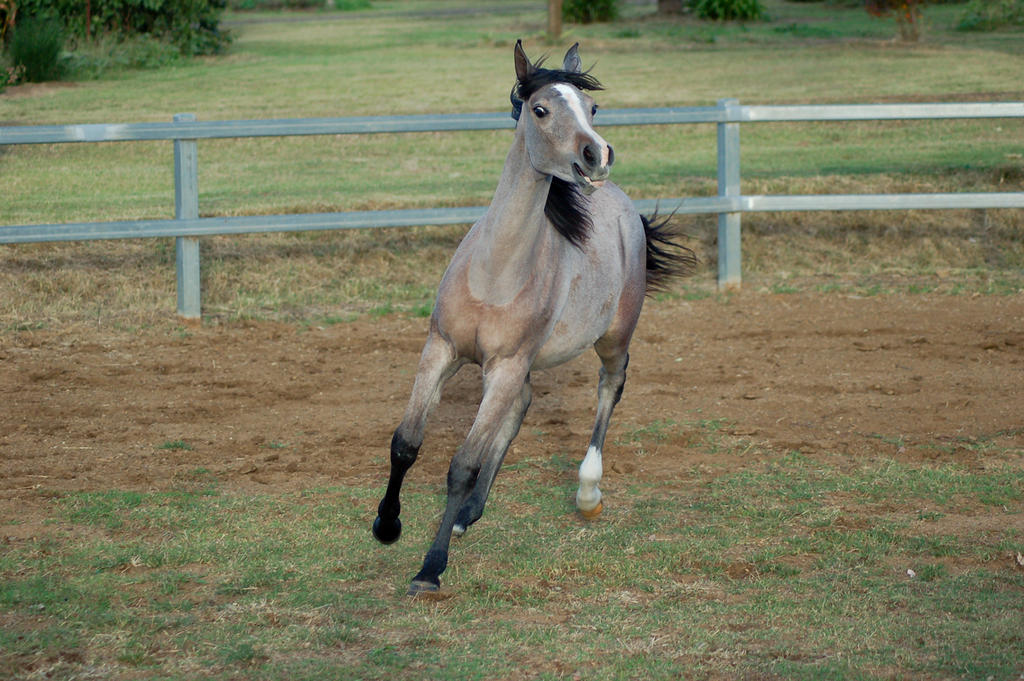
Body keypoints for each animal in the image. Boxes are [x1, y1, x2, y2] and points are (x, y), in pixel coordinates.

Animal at [368, 41, 696, 593]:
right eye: (540, 109)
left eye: (592, 108)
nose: (597, 154)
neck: (495, 275)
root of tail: (621, 202)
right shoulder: (442, 349)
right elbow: (406, 443)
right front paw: (387, 525)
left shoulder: (504, 366)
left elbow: (462, 463)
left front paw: (431, 568)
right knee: (521, 407)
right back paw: (470, 514)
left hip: (612, 337)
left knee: (610, 387)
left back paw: (587, 492)